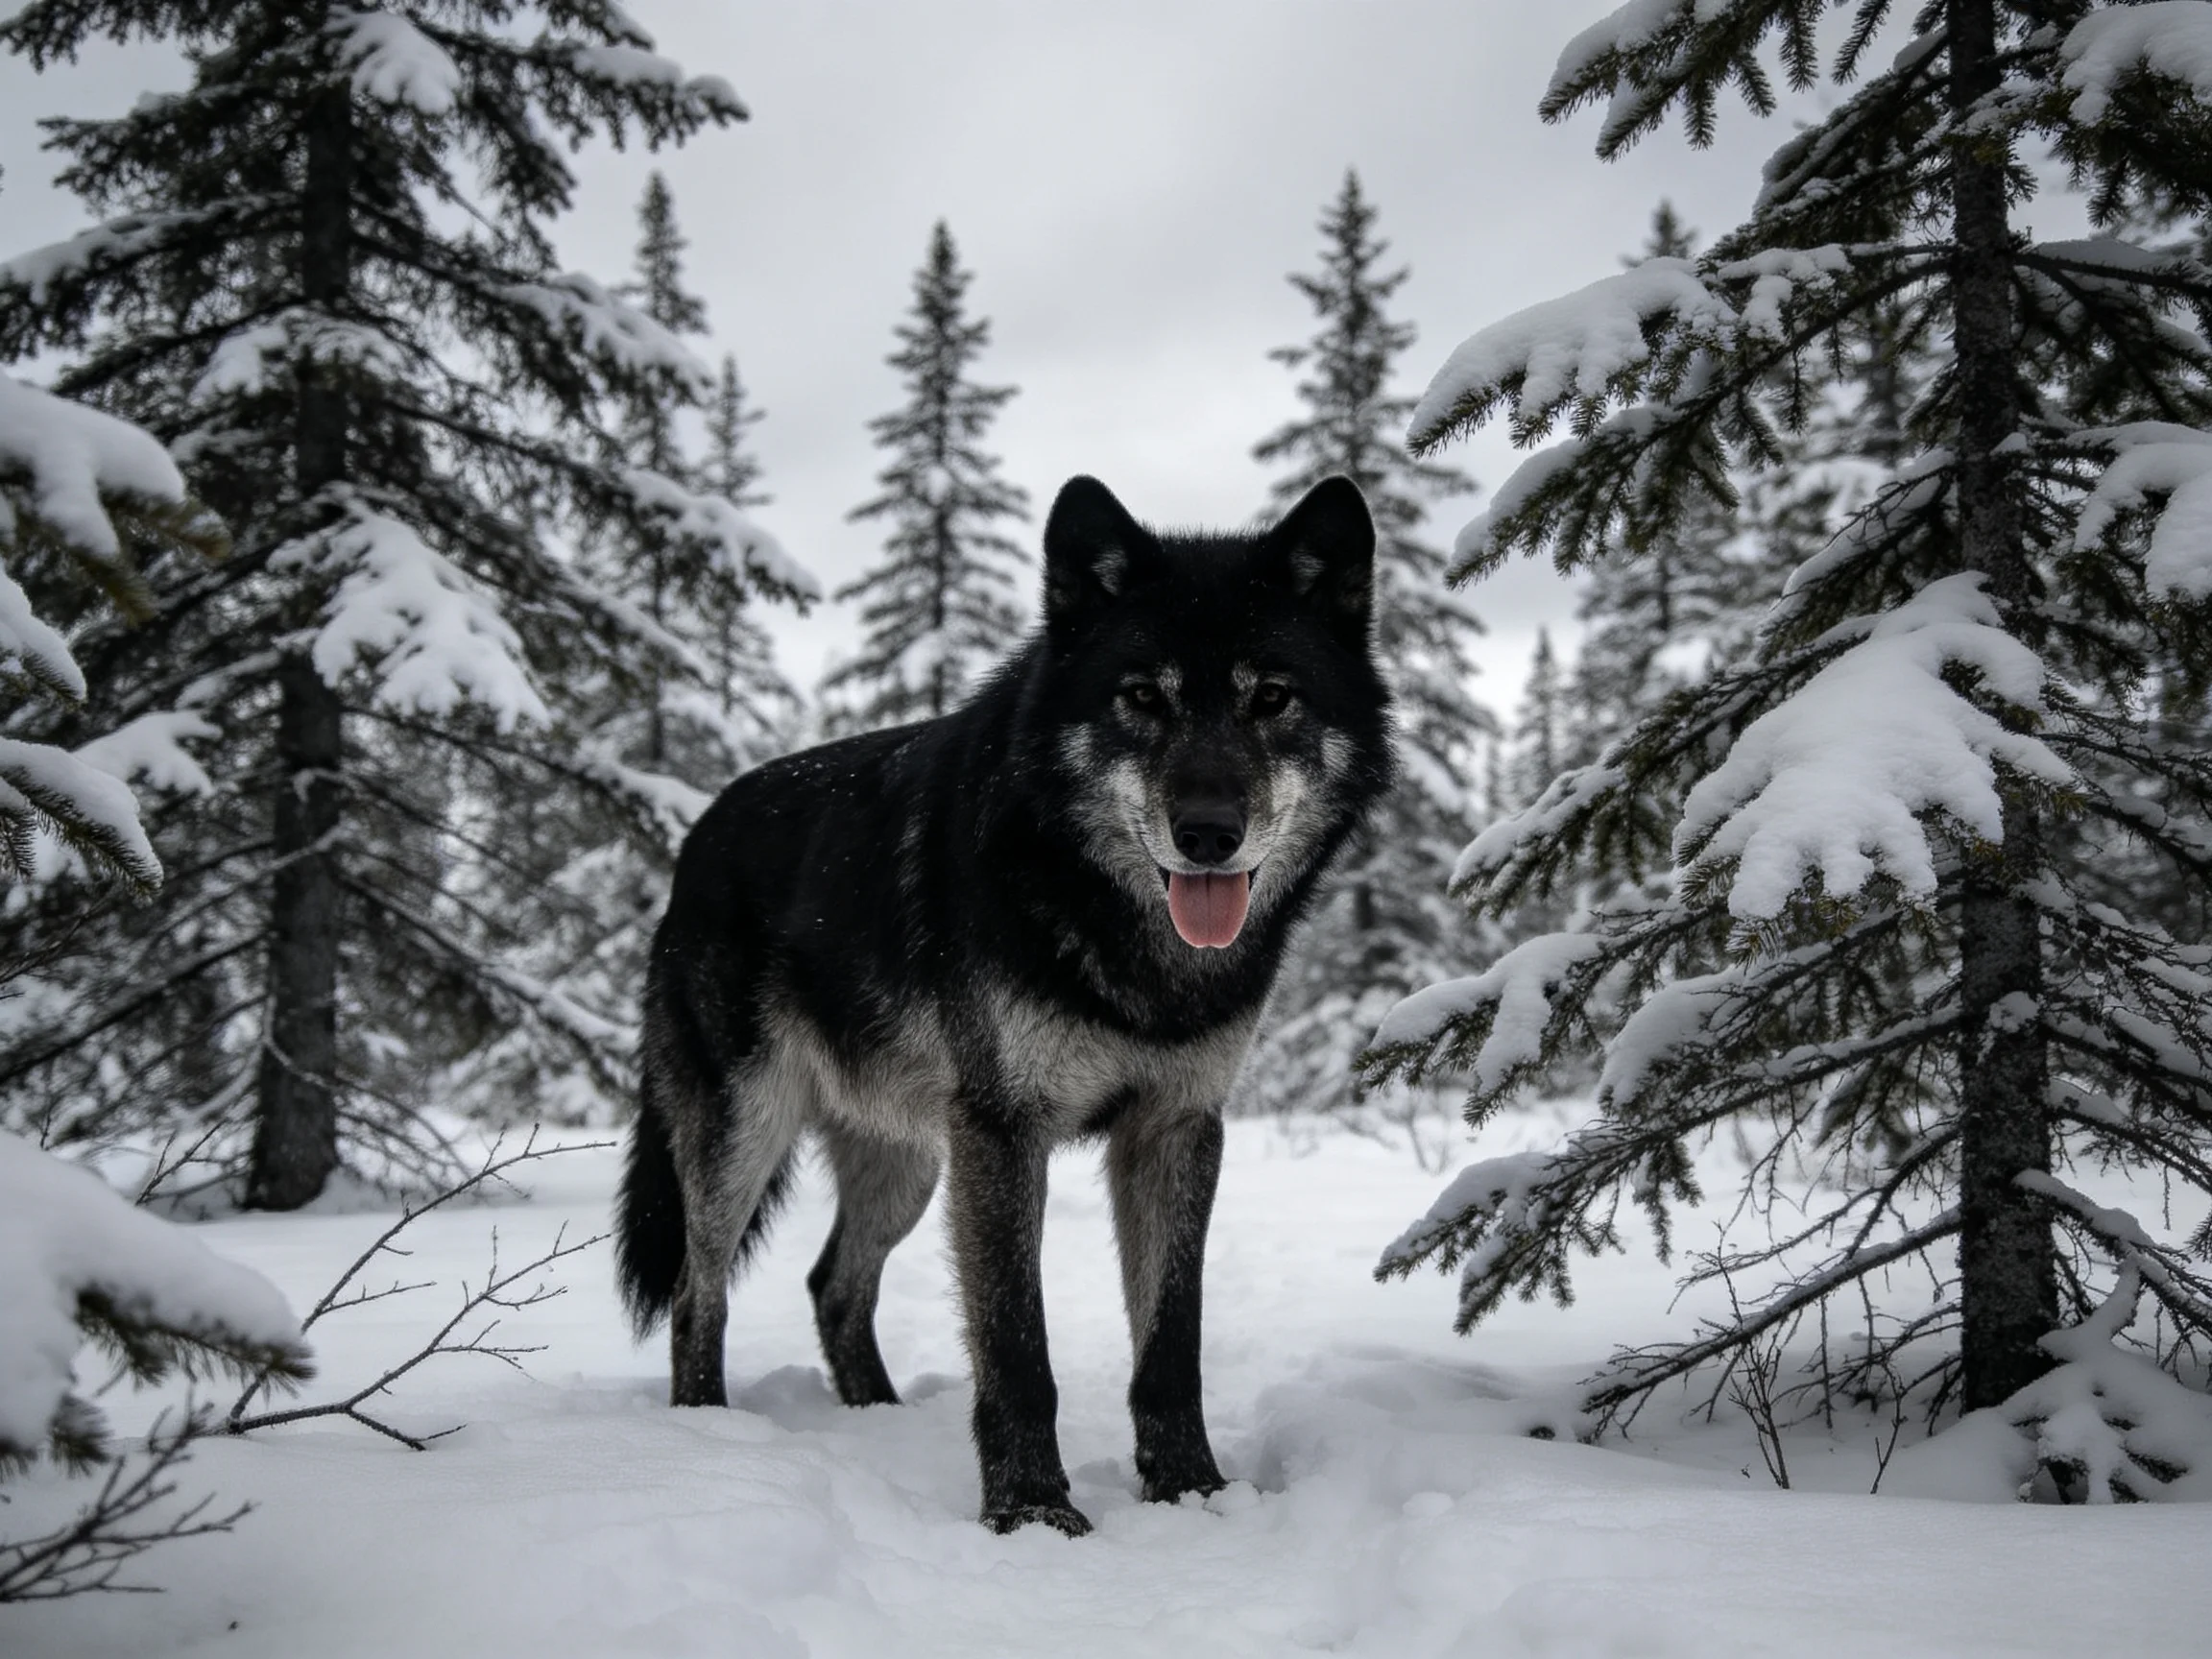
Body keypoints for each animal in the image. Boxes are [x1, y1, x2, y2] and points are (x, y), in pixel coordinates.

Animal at [616, 473, 1392, 1535]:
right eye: (1141, 696)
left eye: (1271, 697)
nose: (1207, 834)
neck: (1124, 944)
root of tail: (695, 834)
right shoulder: (1004, 1131)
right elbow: (1018, 1351)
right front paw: (1031, 1513)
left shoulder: (1176, 1128)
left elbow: (1170, 1346)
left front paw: (1190, 1491)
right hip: (750, 1135)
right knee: (703, 1298)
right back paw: (705, 1442)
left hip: (908, 1166)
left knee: (833, 1285)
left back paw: (878, 1421)